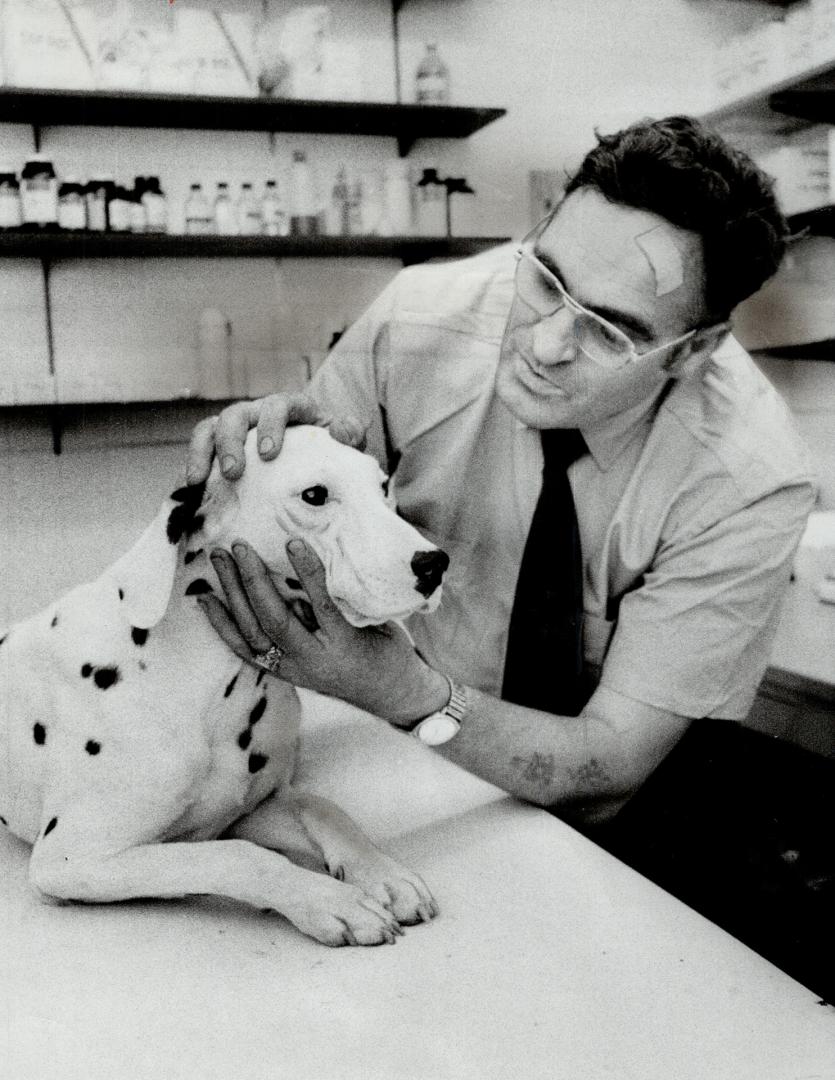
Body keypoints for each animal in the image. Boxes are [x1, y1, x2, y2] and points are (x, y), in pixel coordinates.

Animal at [0, 421, 449, 946]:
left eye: (382, 487)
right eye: (315, 495)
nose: (434, 564)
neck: (208, 680)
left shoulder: (248, 810)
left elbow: (323, 808)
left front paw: (381, 873)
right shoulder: (71, 858)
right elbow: (239, 857)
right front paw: (328, 900)